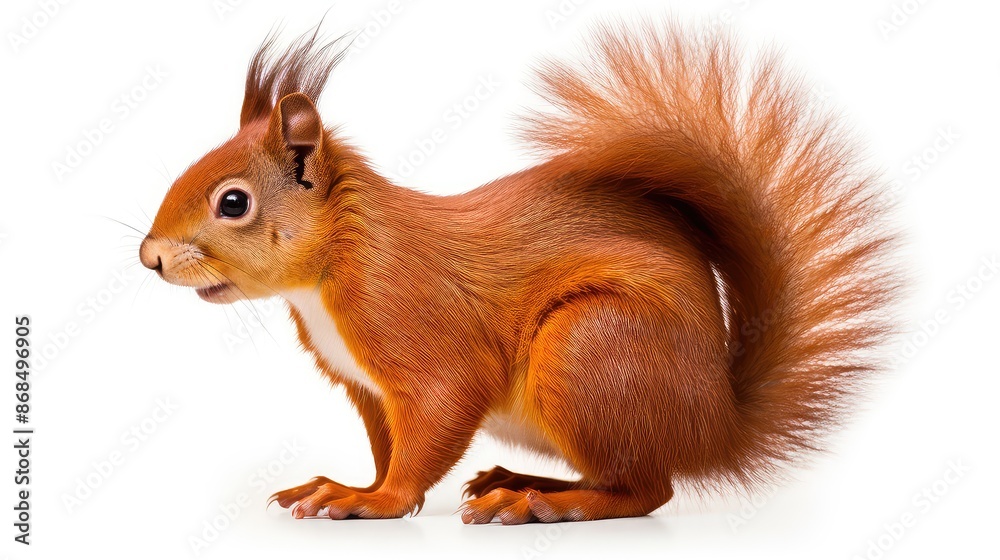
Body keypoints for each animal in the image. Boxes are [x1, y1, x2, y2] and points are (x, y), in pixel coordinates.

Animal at [138, 21, 898, 524]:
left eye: (233, 202)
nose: (149, 257)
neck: (337, 260)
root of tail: (717, 424)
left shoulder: (413, 326)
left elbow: (437, 416)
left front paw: (371, 503)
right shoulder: (368, 389)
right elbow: (388, 446)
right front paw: (350, 485)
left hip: (589, 348)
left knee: (646, 490)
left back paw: (543, 505)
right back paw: (523, 480)